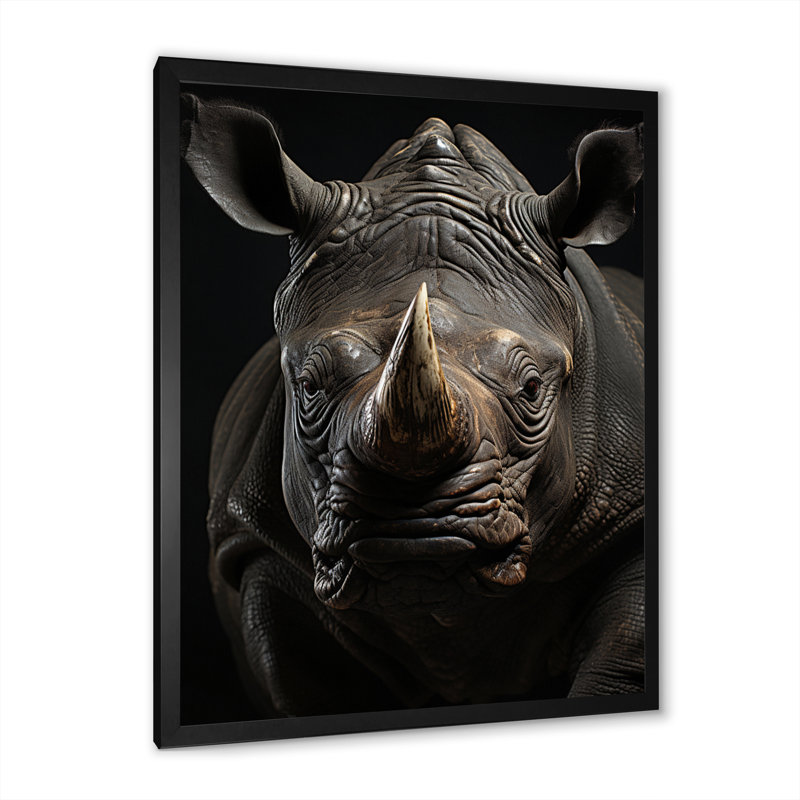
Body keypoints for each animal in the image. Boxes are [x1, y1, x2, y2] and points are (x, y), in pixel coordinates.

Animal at [181, 94, 646, 716]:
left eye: (530, 390)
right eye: (308, 388)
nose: (418, 530)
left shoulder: (628, 521)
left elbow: (619, 660)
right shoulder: (260, 546)